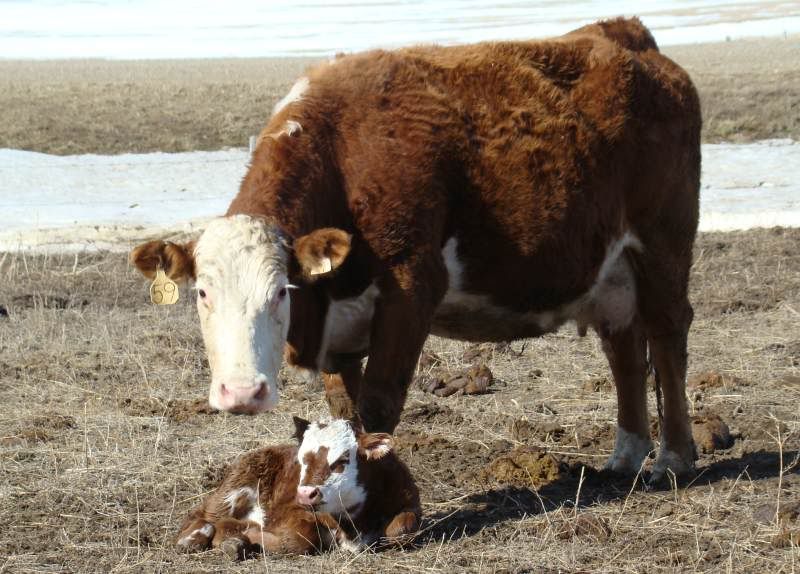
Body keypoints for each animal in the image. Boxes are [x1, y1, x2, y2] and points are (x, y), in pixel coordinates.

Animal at [131, 17, 701, 483]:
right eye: (202, 293)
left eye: (280, 292)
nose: (243, 393)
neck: (343, 154)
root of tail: (629, 38)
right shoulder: (339, 324)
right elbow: (345, 409)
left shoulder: (412, 285)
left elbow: (379, 402)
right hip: (612, 268)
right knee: (623, 348)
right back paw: (626, 455)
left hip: (663, 243)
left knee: (667, 338)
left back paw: (673, 457)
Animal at [175, 417, 420, 558]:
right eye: (301, 460)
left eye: (343, 459)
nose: (305, 493)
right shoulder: (291, 511)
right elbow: (302, 536)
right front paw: (252, 535)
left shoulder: (409, 504)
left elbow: (402, 528)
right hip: (236, 486)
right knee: (203, 515)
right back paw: (194, 538)